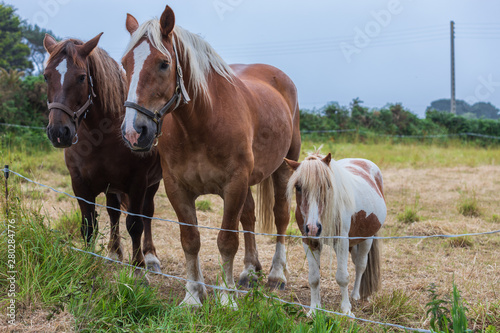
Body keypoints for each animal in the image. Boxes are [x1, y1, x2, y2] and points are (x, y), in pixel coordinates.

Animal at [43, 34, 163, 270]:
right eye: (46, 76)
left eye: (81, 77)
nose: (59, 132)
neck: (101, 137)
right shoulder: (79, 184)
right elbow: (89, 226)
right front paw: (88, 264)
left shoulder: (138, 183)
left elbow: (135, 224)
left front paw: (138, 267)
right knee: (113, 212)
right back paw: (114, 251)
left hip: (151, 183)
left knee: (147, 214)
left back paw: (150, 255)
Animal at [120, 5, 300, 306]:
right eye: (124, 64)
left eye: (163, 63)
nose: (134, 132)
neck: (201, 123)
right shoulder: (177, 188)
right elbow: (190, 240)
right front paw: (194, 294)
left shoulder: (234, 184)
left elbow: (227, 241)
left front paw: (227, 298)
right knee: (249, 217)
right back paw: (250, 270)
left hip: (285, 166)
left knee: (281, 216)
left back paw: (276, 275)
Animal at [286, 152, 386, 316]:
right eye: (298, 187)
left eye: (327, 185)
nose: (313, 228)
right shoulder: (309, 242)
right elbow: (314, 278)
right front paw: (314, 309)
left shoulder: (341, 242)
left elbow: (342, 277)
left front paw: (346, 310)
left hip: (366, 238)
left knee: (361, 265)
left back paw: (356, 295)